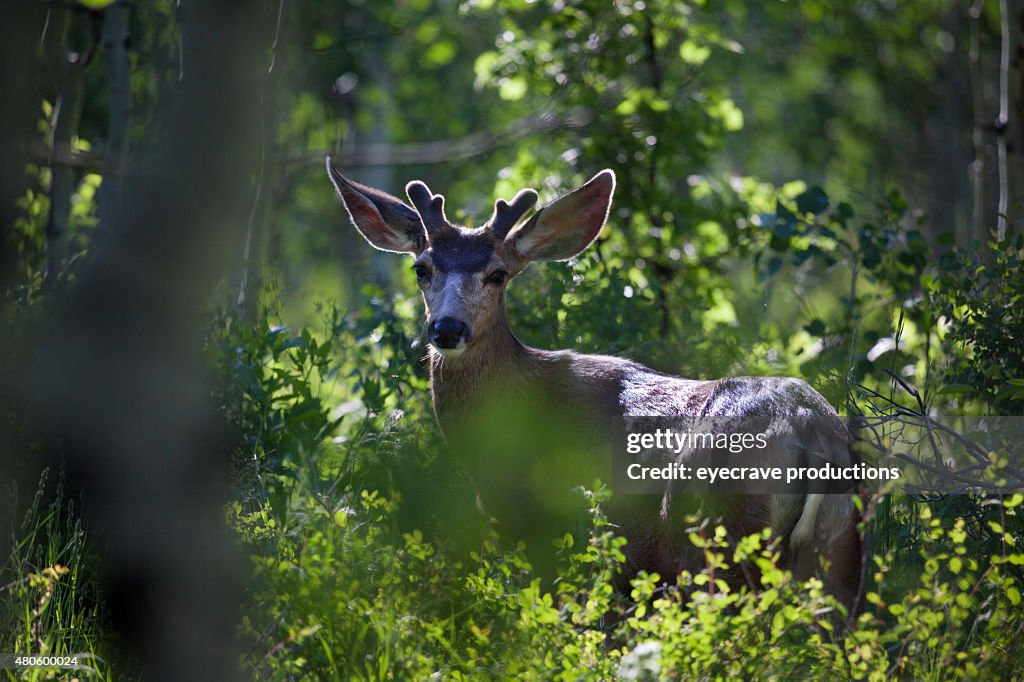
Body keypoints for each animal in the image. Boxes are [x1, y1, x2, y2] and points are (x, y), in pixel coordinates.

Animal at [325, 156, 864, 606]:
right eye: (422, 268)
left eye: (498, 274)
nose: (447, 329)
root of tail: (814, 433)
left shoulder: (550, 541)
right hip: (837, 553)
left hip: (716, 534)